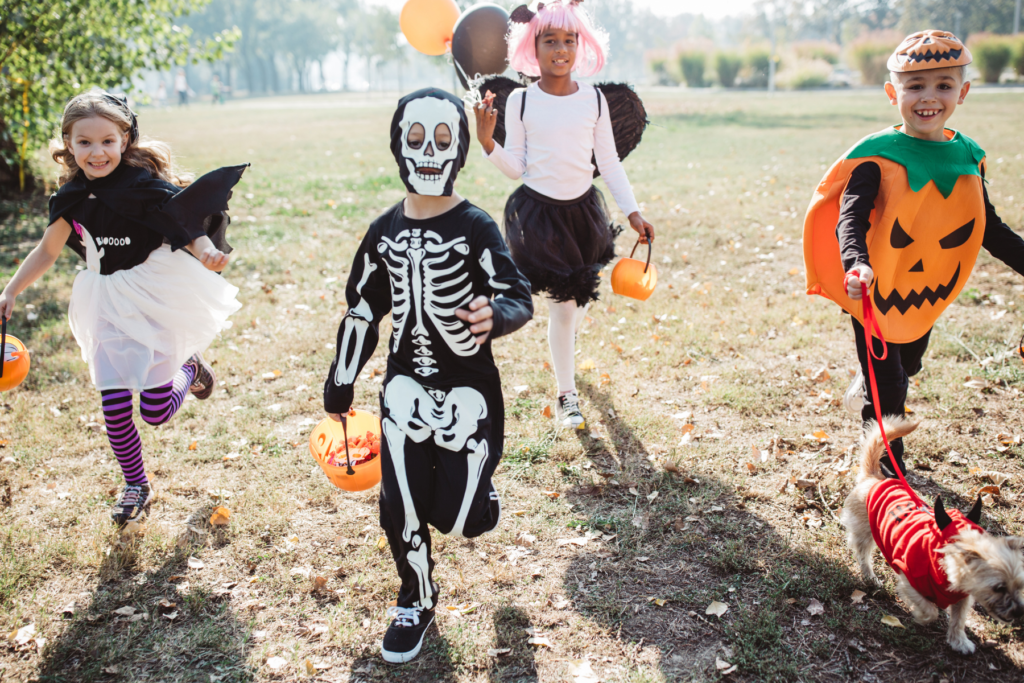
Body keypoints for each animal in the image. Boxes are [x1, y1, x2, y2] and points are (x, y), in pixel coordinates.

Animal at [839, 419, 1024, 655]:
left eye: (1019, 586)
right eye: (998, 587)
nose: (1019, 612)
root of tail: (876, 478)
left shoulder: (963, 596)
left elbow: (958, 619)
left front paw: (959, 641)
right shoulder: (908, 580)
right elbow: (930, 611)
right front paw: (921, 616)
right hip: (865, 534)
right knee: (863, 555)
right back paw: (870, 577)